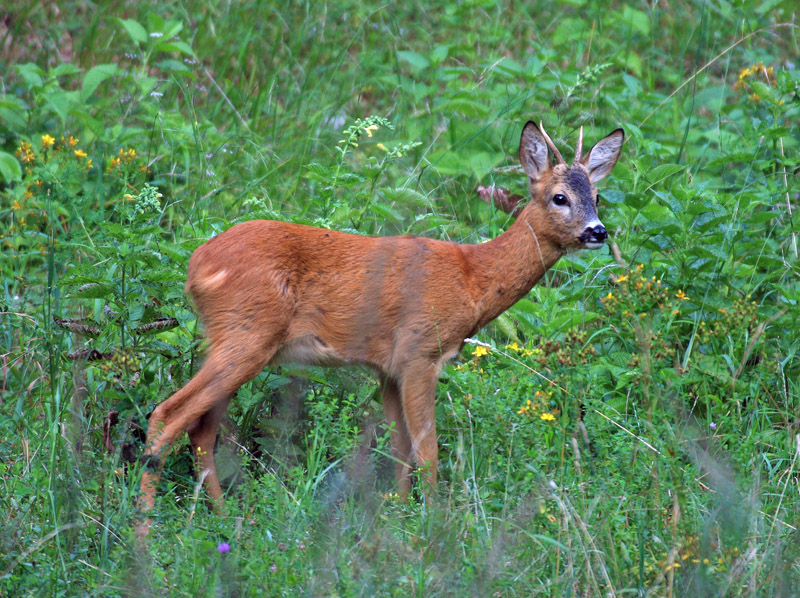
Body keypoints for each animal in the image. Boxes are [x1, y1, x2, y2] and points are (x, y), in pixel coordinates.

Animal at [138, 119, 624, 536]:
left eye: (597, 196)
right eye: (559, 197)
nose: (598, 231)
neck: (473, 279)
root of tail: (196, 267)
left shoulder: (388, 368)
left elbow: (399, 450)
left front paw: (398, 520)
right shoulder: (419, 352)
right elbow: (427, 451)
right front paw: (434, 527)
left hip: (235, 341)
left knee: (201, 427)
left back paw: (226, 521)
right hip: (247, 334)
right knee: (168, 414)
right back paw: (144, 532)